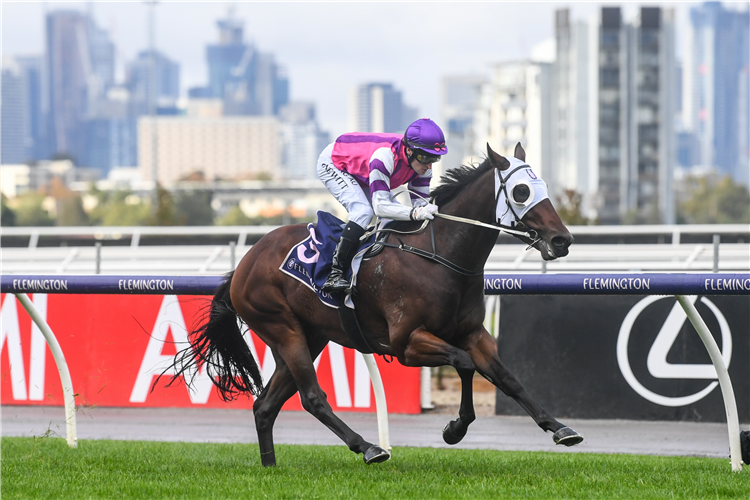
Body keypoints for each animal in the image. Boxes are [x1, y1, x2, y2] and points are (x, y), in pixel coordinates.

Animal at [169, 144, 580, 464]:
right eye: (522, 190)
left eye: (543, 186)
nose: (562, 240)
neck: (440, 256)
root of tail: (244, 264)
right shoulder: (407, 344)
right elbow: (463, 364)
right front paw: (455, 428)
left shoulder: (474, 333)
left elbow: (507, 377)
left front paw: (560, 428)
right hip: (283, 329)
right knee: (312, 397)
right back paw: (368, 447)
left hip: (309, 336)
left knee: (265, 406)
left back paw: (270, 466)